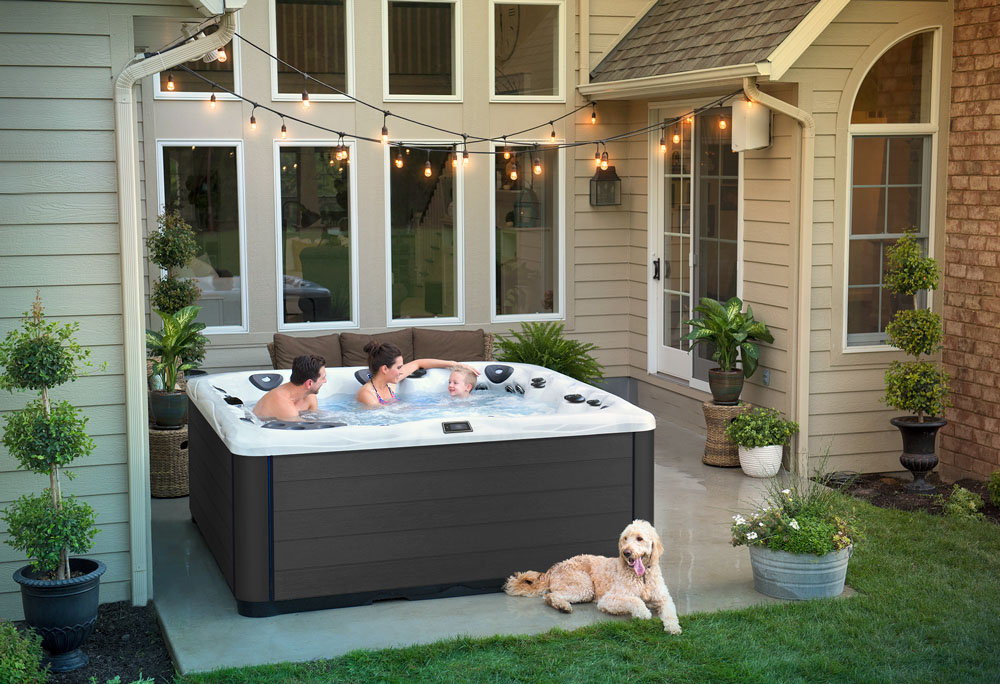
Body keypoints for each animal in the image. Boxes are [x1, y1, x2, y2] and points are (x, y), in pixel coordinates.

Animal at [504, 520, 684, 636]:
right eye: (625, 538)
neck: (642, 577)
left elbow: (670, 612)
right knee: (551, 595)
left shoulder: (664, 598)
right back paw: (563, 606)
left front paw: (673, 627)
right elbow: (635, 600)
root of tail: (555, 567)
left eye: (639, 538)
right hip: (584, 587)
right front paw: (643, 612)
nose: (626, 552)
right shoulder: (609, 599)